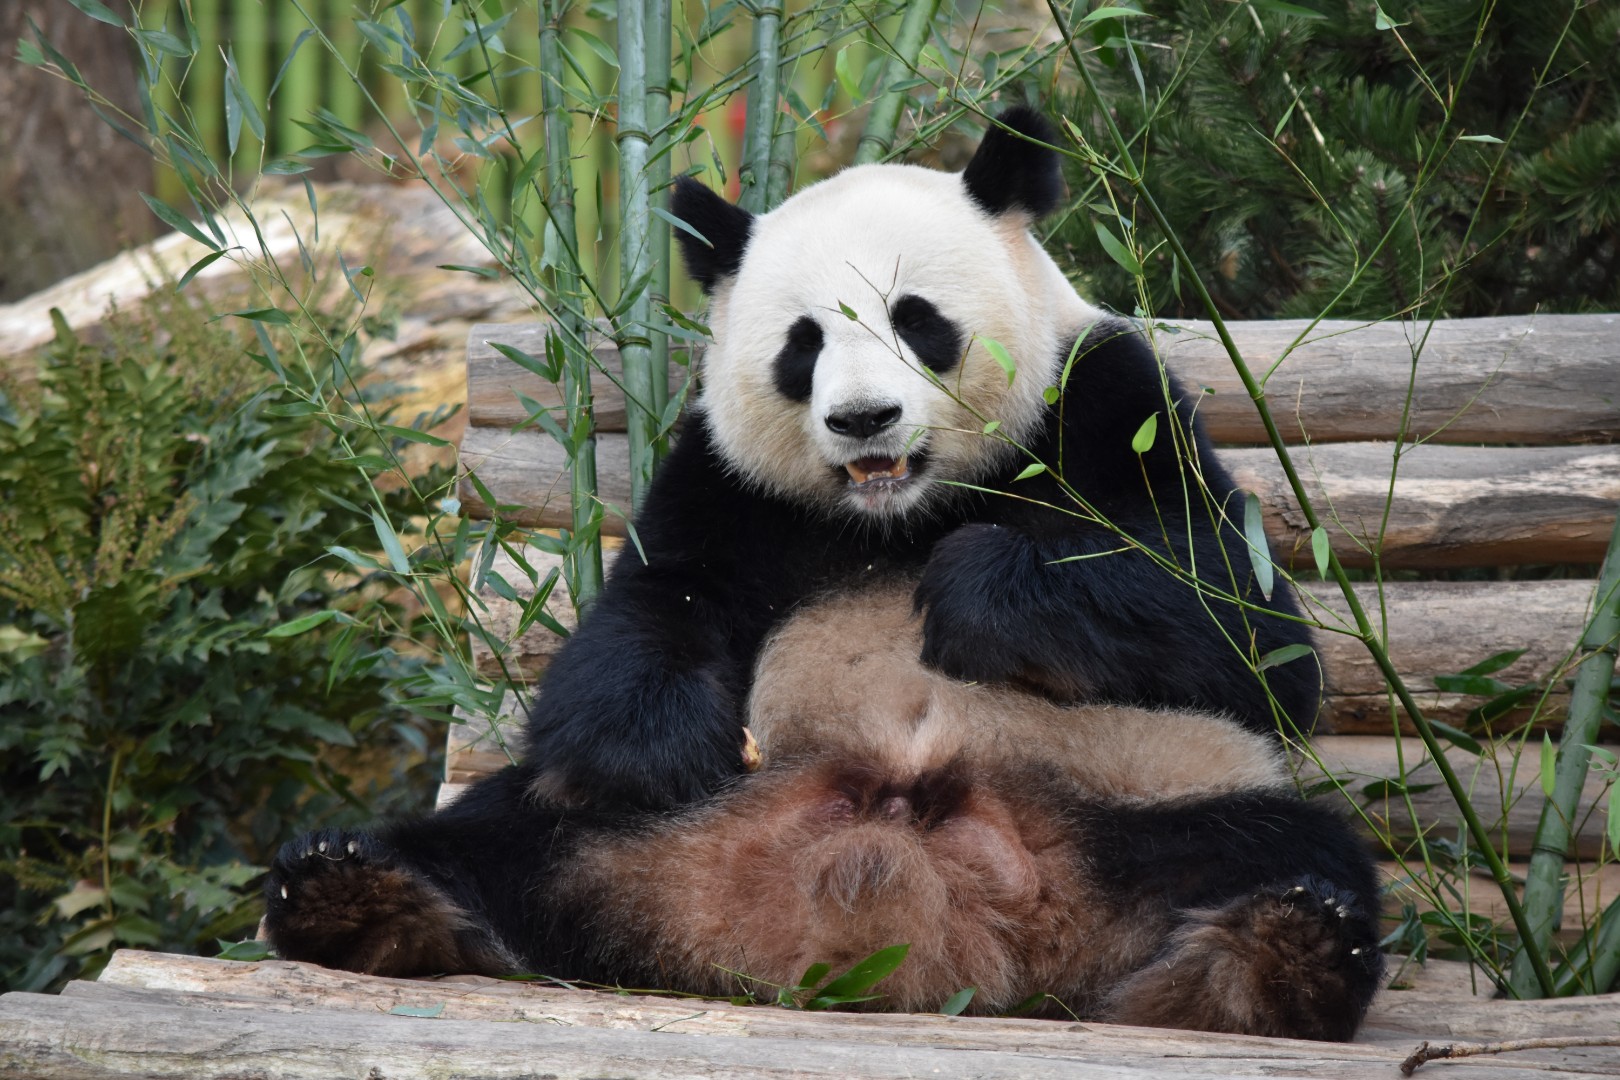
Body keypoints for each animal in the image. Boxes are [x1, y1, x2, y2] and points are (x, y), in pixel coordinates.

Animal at [264, 106, 1383, 1040]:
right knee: (499, 833)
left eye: (916, 318)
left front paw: (975, 588)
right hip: (626, 826)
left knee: (1295, 851)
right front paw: (659, 744)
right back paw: (356, 895)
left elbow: (1255, 631)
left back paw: (1275, 961)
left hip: (1149, 804)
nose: (862, 419)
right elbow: (647, 612)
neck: (900, 511)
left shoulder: (1110, 398)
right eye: (802, 344)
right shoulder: (724, 476)